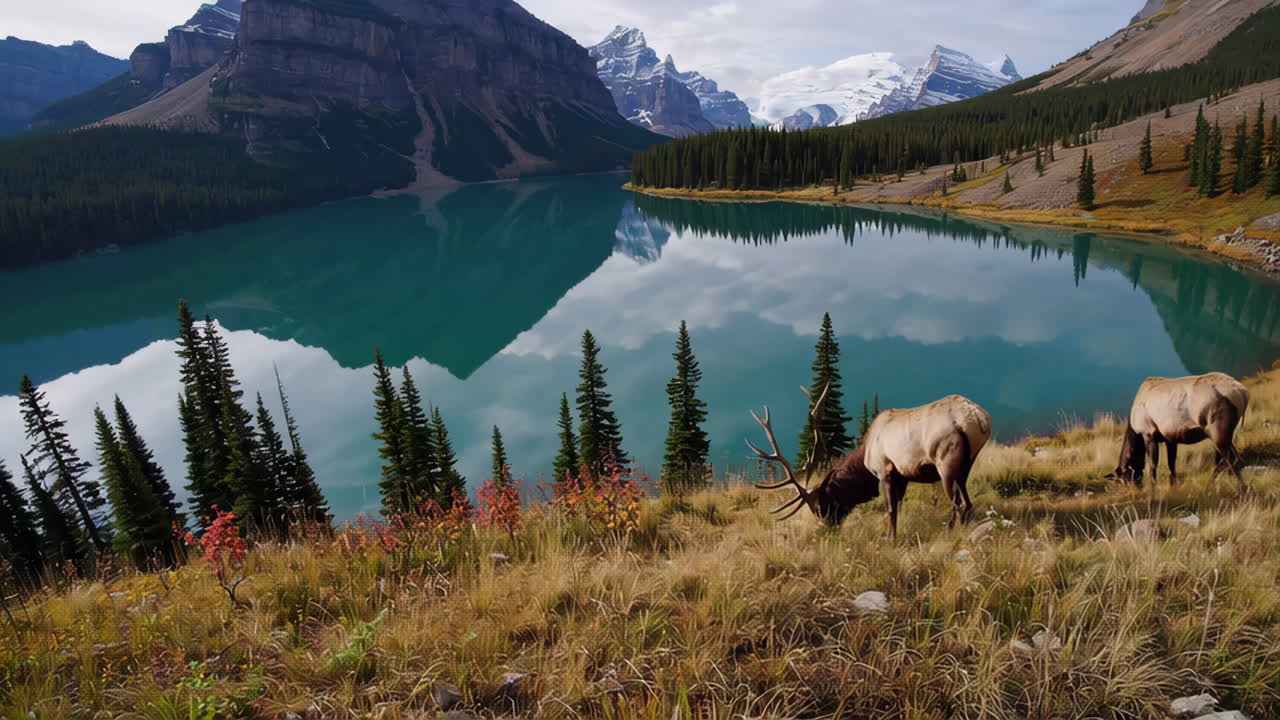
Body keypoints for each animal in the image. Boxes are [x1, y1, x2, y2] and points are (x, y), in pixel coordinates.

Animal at [748, 388, 992, 540]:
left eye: (821, 506)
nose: (827, 529)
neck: (865, 457)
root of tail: (977, 418)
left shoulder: (885, 470)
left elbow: (890, 508)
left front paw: (890, 538)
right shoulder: (903, 477)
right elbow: (898, 506)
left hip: (945, 462)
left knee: (959, 503)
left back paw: (950, 532)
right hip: (966, 465)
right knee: (968, 502)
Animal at [1108, 372, 1250, 491]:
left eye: (1125, 479)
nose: (1134, 491)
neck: (1134, 428)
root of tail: (1243, 393)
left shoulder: (1149, 434)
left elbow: (1153, 466)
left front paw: (1153, 488)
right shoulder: (1170, 439)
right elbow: (1171, 464)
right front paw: (1173, 485)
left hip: (1217, 432)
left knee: (1232, 460)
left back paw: (1240, 488)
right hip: (1226, 435)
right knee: (1231, 460)